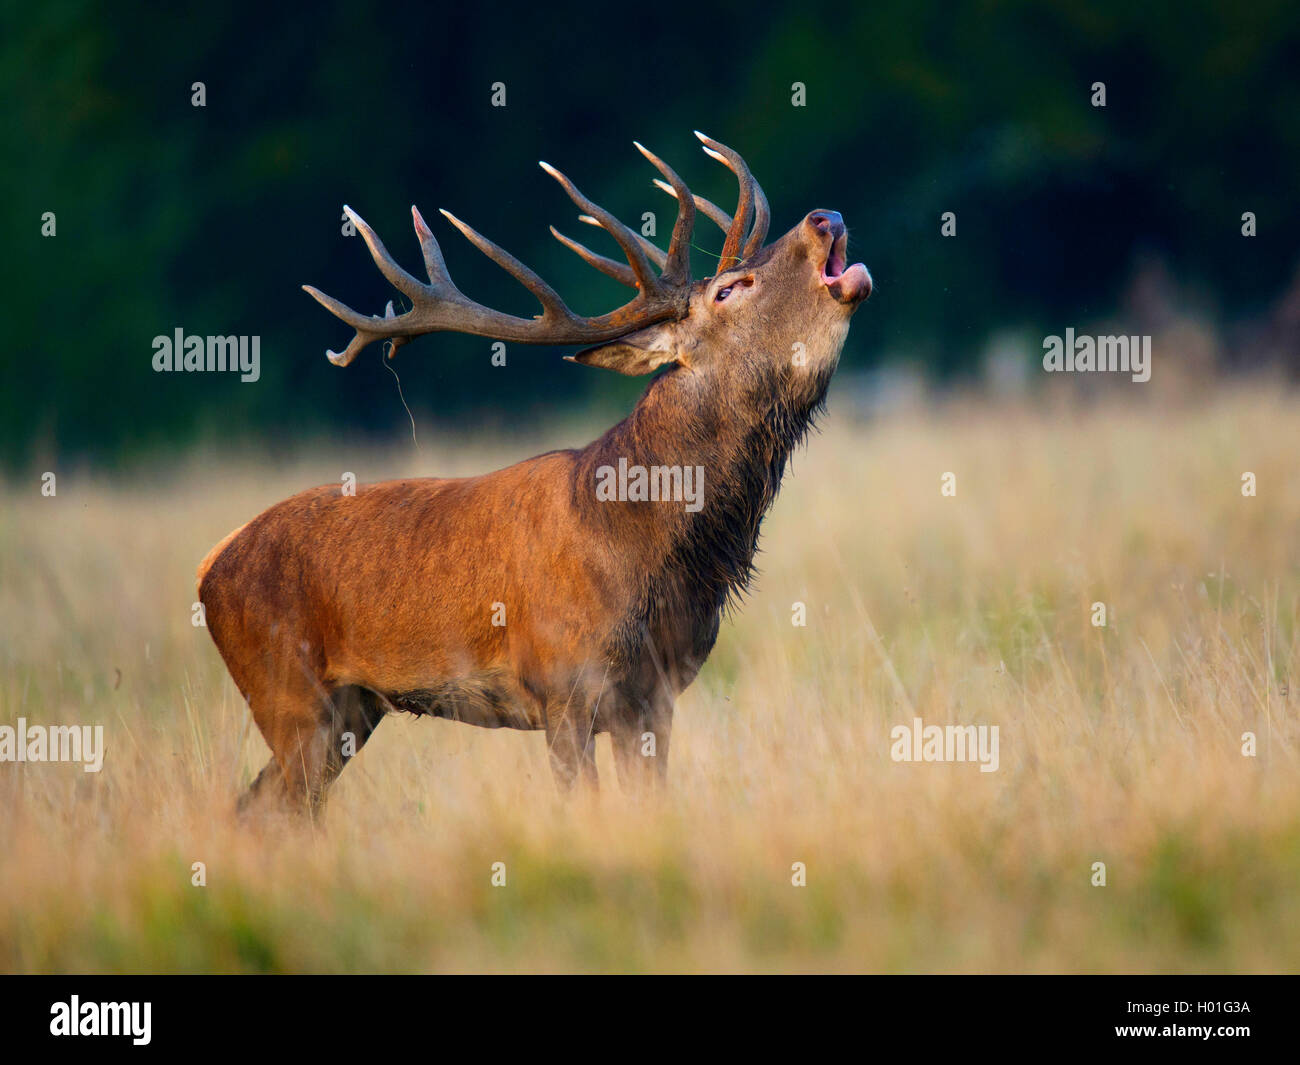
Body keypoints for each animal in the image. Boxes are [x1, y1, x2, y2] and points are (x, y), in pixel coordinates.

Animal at [197, 133, 871, 815]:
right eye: (728, 290)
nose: (825, 217)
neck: (645, 545)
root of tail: (209, 566)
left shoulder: (655, 696)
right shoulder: (563, 685)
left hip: (351, 709)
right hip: (287, 693)